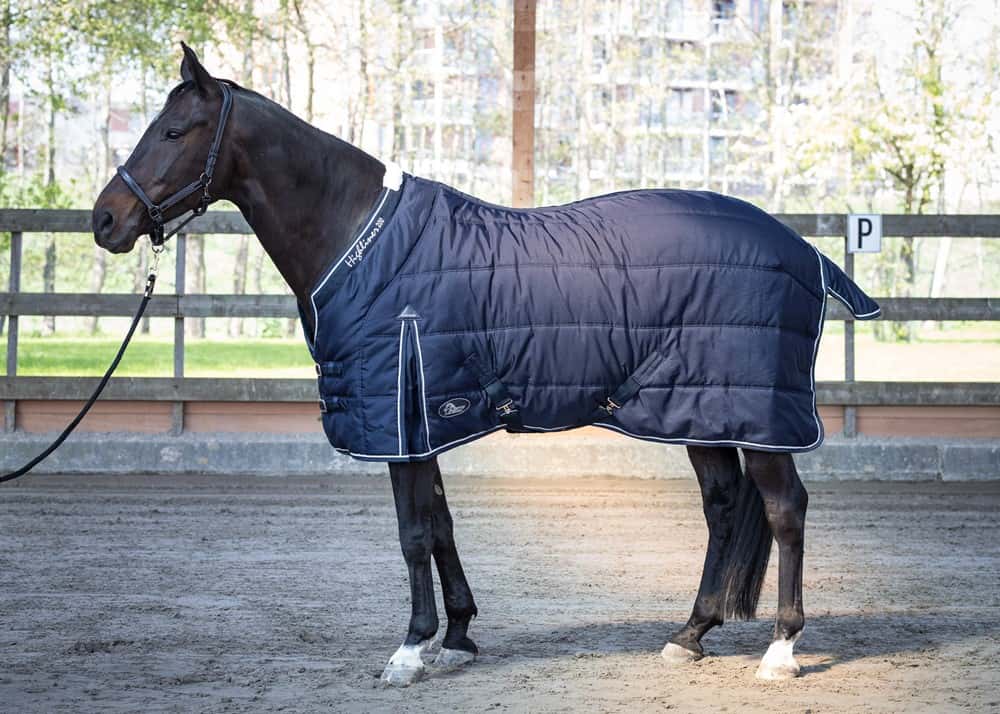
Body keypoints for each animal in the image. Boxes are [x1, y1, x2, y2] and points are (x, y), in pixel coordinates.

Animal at [93, 44, 879, 686]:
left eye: (173, 131)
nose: (105, 220)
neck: (362, 242)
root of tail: (804, 251)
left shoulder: (399, 417)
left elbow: (413, 533)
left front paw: (410, 650)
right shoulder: (422, 422)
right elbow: (440, 524)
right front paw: (458, 637)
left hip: (756, 416)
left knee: (785, 509)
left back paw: (780, 651)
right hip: (702, 413)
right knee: (721, 509)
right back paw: (689, 635)